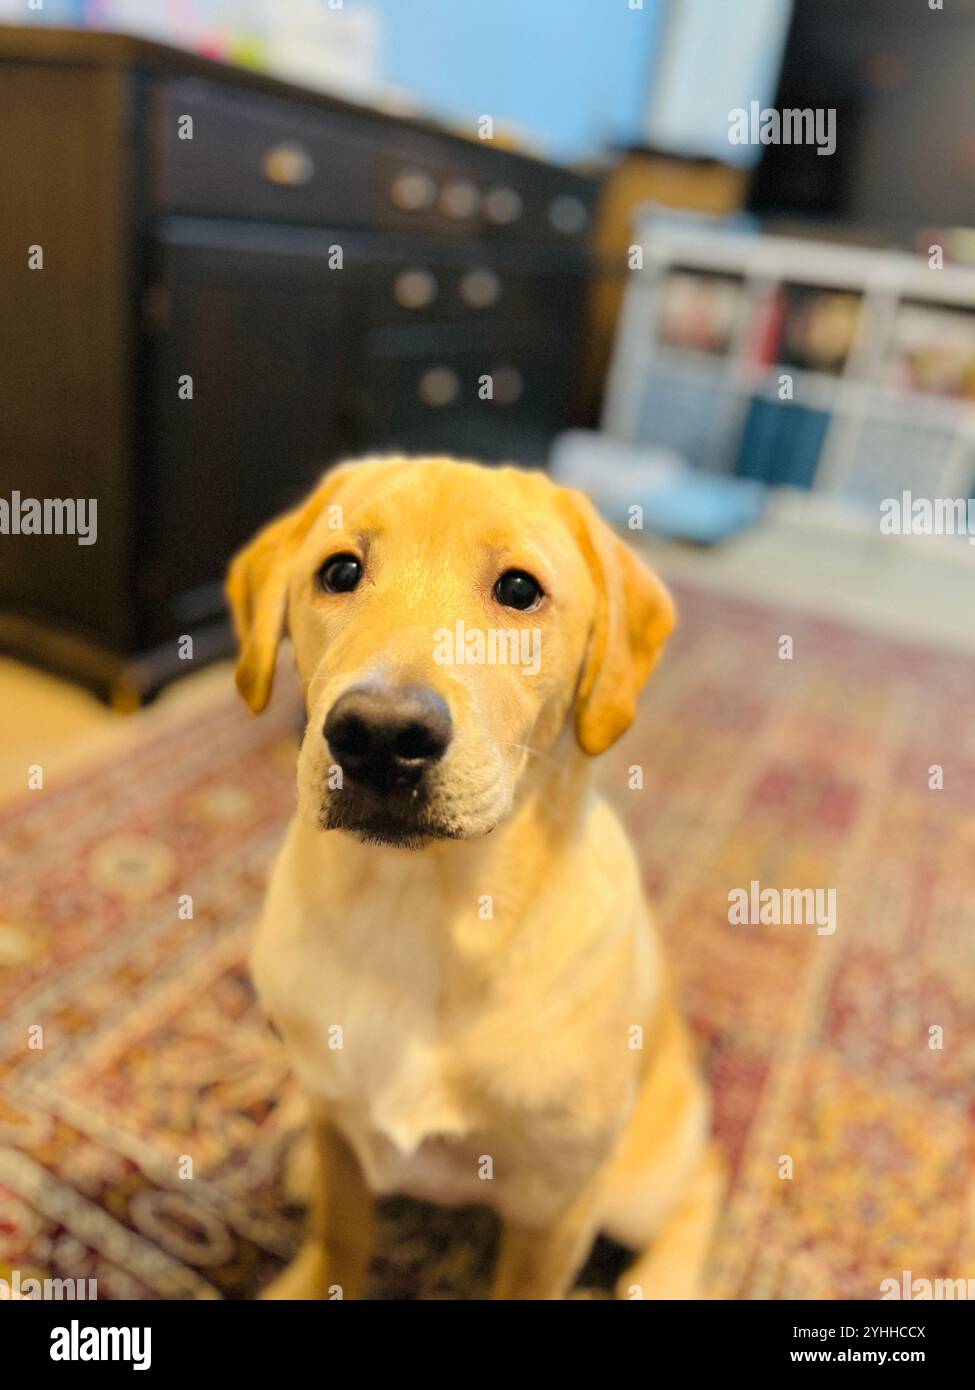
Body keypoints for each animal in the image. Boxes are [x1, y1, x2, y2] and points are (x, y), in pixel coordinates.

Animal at [223, 455, 717, 1301]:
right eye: (339, 572)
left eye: (519, 590)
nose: (379, 737)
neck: (420, 910)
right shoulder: (341, 1135)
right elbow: (341, 1234)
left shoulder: (554, 1209)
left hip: (637, 1184)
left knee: (706, 1175)